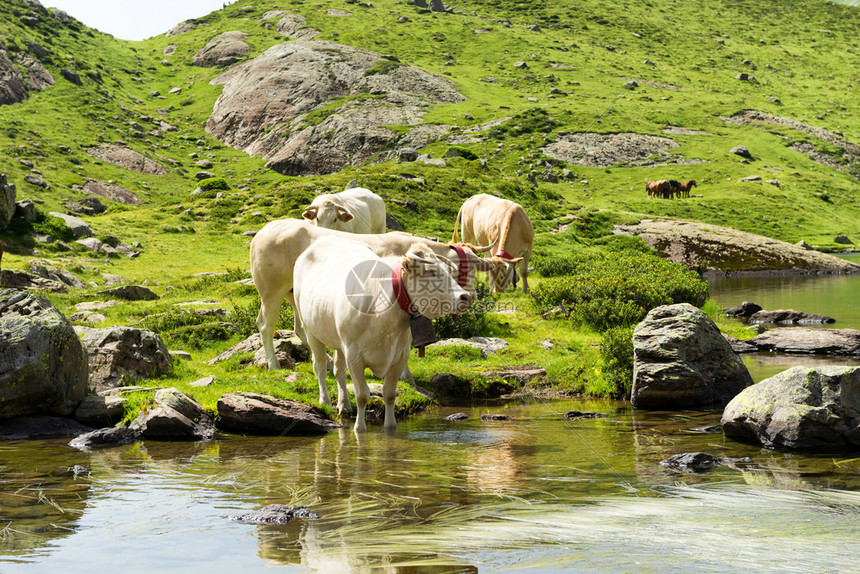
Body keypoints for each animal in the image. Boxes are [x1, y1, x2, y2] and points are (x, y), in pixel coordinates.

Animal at [249, 218, 494, 372]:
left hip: (295, 295)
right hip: (271, 291)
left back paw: (326, 362)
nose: (470, 295)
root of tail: (263, 232)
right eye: (469, 267)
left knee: (301, 327)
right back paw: (273, 364)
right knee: (265, 325)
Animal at [294, 235, 470, 432]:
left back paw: (344, 405)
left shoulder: (400, 355)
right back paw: (324, 401)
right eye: (431, 271)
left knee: (339, 370)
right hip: (311, 330)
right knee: (320, 366)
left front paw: (390, 428)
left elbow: (390, 395)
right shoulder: (354, 354)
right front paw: (359, 429)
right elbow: (362, 395)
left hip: (338, 340)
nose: (466, 297)